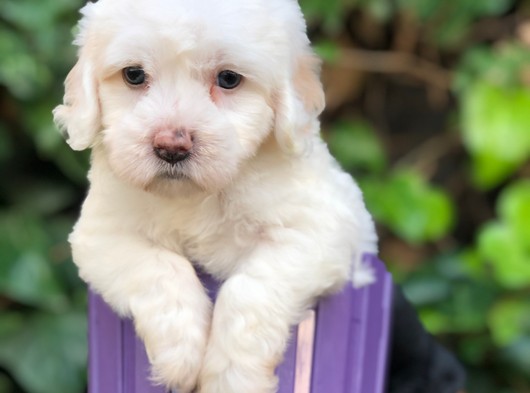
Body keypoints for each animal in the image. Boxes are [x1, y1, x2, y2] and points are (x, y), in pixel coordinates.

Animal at [52, 0, 376, 392]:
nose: (171, 147)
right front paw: (180, 355)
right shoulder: (101, 235)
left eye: (228, 79)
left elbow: (249, 290)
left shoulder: (324, 230)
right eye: (134, 75)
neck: (196, 195)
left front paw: (232, 378)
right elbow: (160, 268)